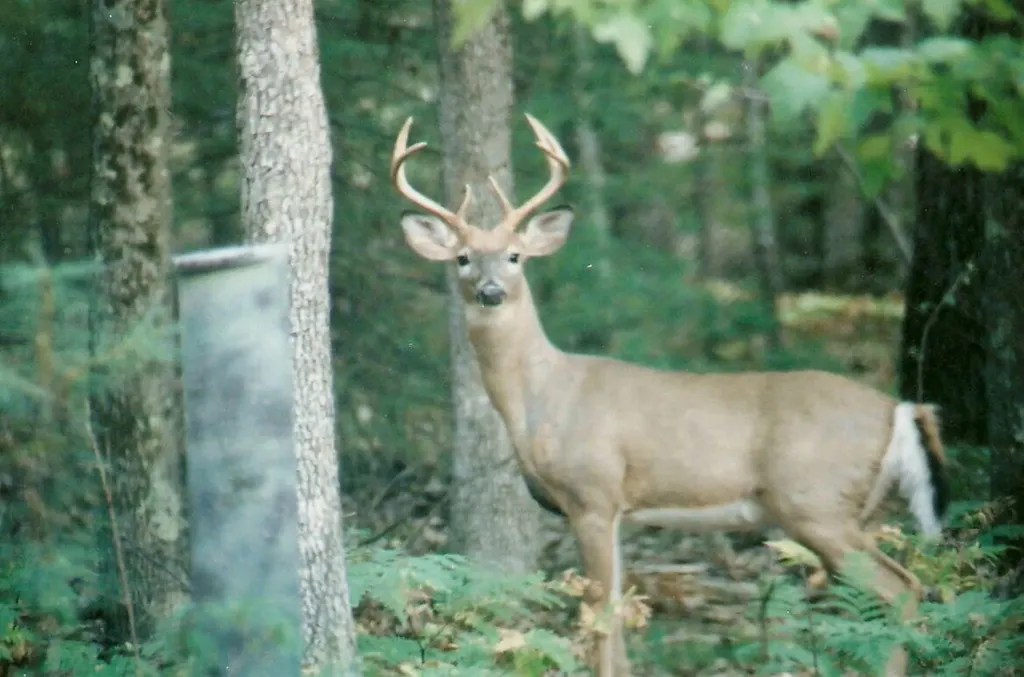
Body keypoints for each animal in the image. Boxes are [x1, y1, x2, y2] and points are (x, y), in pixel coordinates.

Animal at [390, 113, 948, 677]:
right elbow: (617, 617)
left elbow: (600, 617)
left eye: (514, 256)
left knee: (902, 588)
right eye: (462, 258)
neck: (543, 398)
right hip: (852, 508)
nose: (490, 291)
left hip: (815, 501)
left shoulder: (593, 494)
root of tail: (899, 408)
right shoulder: (615, 509)